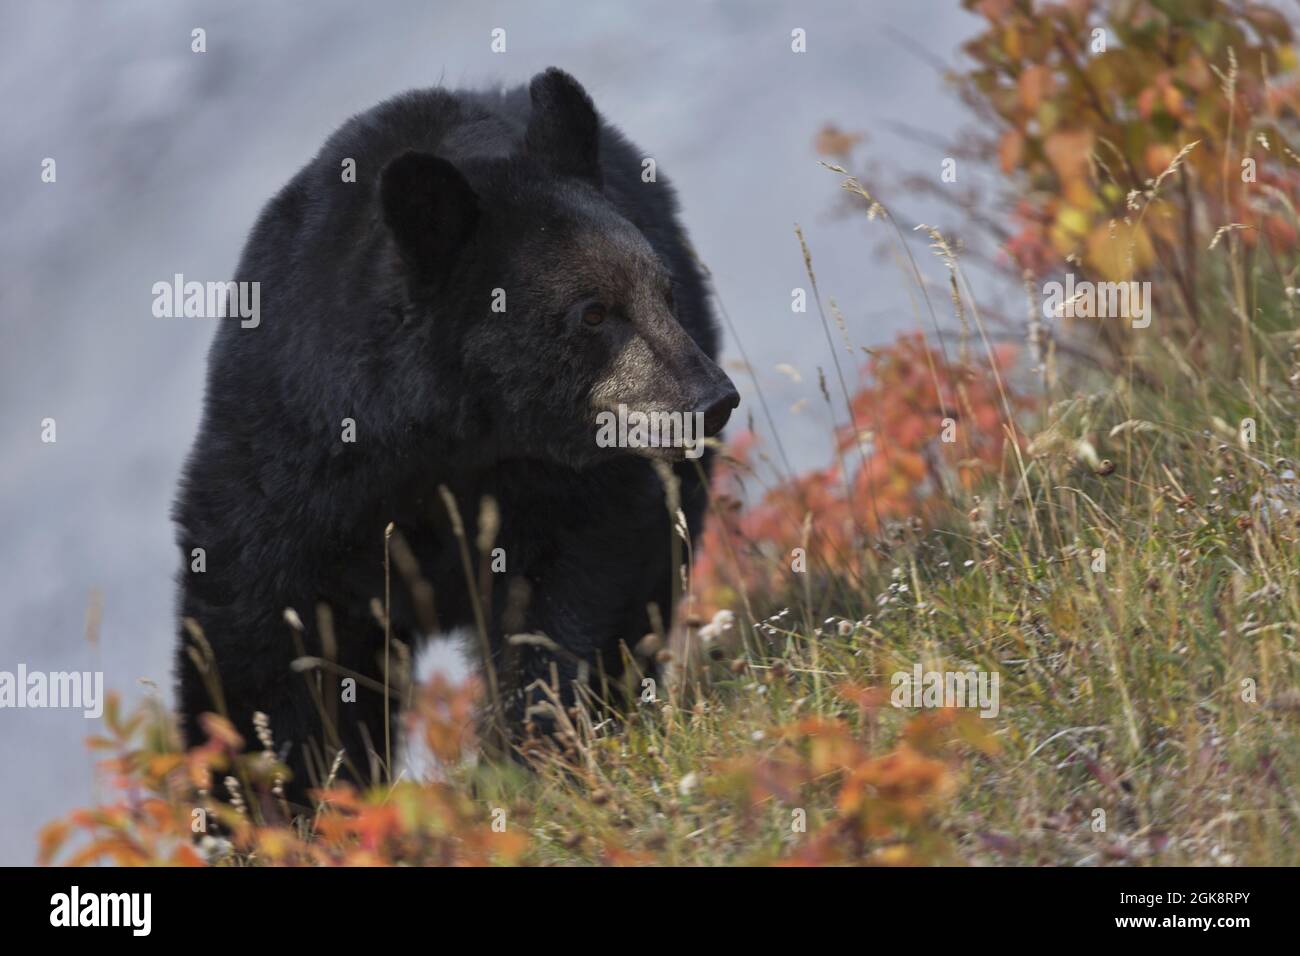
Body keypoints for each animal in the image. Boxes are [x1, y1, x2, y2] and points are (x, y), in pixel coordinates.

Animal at [175, 70, 743, 811]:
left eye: (664, 290)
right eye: (591, 313)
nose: (711, 402)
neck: (449, 437)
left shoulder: (571, 482)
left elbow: (576, 592)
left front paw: (538, 750)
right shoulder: (293, 468)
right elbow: (266, 642)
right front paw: (277, 804)